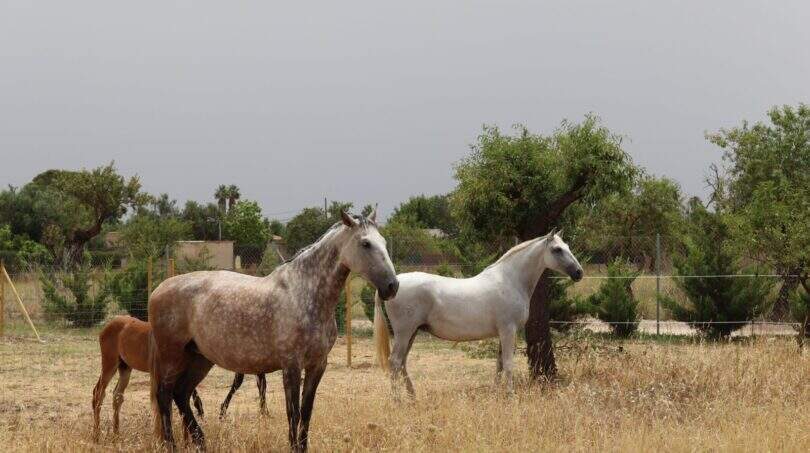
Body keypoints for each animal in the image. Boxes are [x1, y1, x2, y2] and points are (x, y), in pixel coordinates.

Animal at [92, 316, 268, 440]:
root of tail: (107, 326)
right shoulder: (158, 375)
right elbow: (160, 404)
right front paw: (161, 440)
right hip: (110, 364)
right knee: (98, 393)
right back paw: (97, 435)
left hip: (125, 367)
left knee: (117, 395)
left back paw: (116, 434)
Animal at [148, 209, 398, 451]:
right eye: (365, 243)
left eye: (384, 242)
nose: (392, 286)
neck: (303, 293)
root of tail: (157, 290)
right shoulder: (291, 366)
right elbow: (293, 414)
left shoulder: (317, 365)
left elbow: (306, 414)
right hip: (172, 356)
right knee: (165, 395)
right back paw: (172, 445)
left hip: (200, 358)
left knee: (181, 394)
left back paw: (201, 441)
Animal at [374, 230, 583, 395]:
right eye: (557, 249)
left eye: (567, 246)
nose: (579, 273)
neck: (510, 280)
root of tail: (395, 283)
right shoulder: (509, 330)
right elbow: (508, 364)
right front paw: (511, 396)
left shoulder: (504, 333)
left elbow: (499, 365)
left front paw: (496, 394)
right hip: (404, 333)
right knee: (395, 362)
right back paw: (397, 400)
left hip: (413, 333)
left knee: (402, 363)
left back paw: (412, 396)